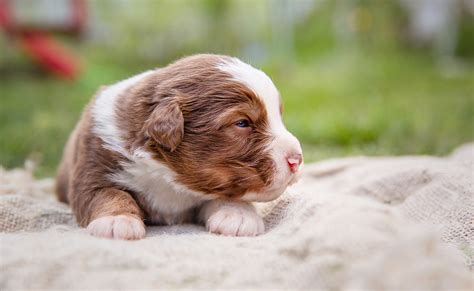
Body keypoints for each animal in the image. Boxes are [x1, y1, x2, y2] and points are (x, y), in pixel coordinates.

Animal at [54, 53, 300, 241]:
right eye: (242, 123)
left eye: (279, 115)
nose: (297, 159)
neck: (168, 176)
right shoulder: (93, 164)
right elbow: (107, 193)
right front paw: (117, 220)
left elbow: (227, 195)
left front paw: (238, 216)